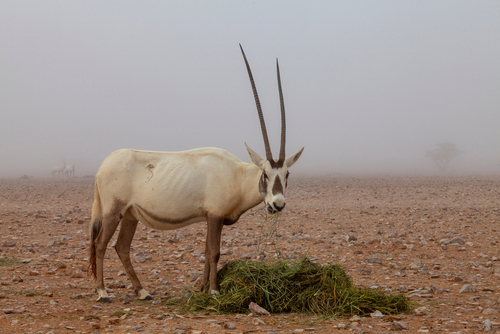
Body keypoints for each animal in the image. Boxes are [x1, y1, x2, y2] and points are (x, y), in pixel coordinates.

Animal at [88, 46, 302, 302]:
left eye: (287, 174)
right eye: (265, 173)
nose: (277, 204)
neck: (237, 174)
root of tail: (101, 167)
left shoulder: (211, 217)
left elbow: (207, 250)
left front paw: (202, 288)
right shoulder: (215, 216)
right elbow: (214, 252)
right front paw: (214, 291)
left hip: (130, 215)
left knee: (121, 247)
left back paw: (142, 291)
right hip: (113, 211)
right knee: (100, 244)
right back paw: (102, 292)